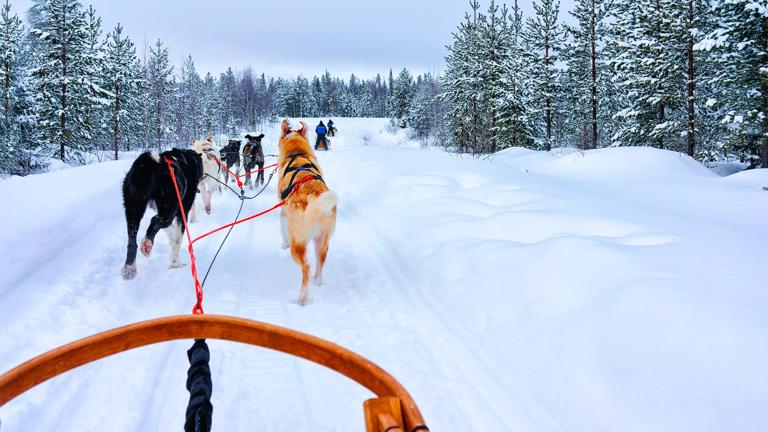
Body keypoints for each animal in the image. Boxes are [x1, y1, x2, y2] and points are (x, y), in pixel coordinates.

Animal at [121, 148, 204, 280]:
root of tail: (150, 162)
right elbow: (177, 239)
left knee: (132, 239)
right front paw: (175, 264)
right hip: (169, 207)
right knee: (155, 221)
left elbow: (171, 233)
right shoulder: (182, 213)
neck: (189, 159)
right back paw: (147, 243)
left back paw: (129, 268)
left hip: (133, 208)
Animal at [276, 120, 336, 306]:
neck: (297, 154)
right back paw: (318, 279)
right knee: (321, 257)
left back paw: (302, 296)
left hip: (298, 243)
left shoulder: (283, 211)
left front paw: (283, 243)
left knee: (306, 266)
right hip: (322, 239)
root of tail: (314, 195)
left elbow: (283, 230)